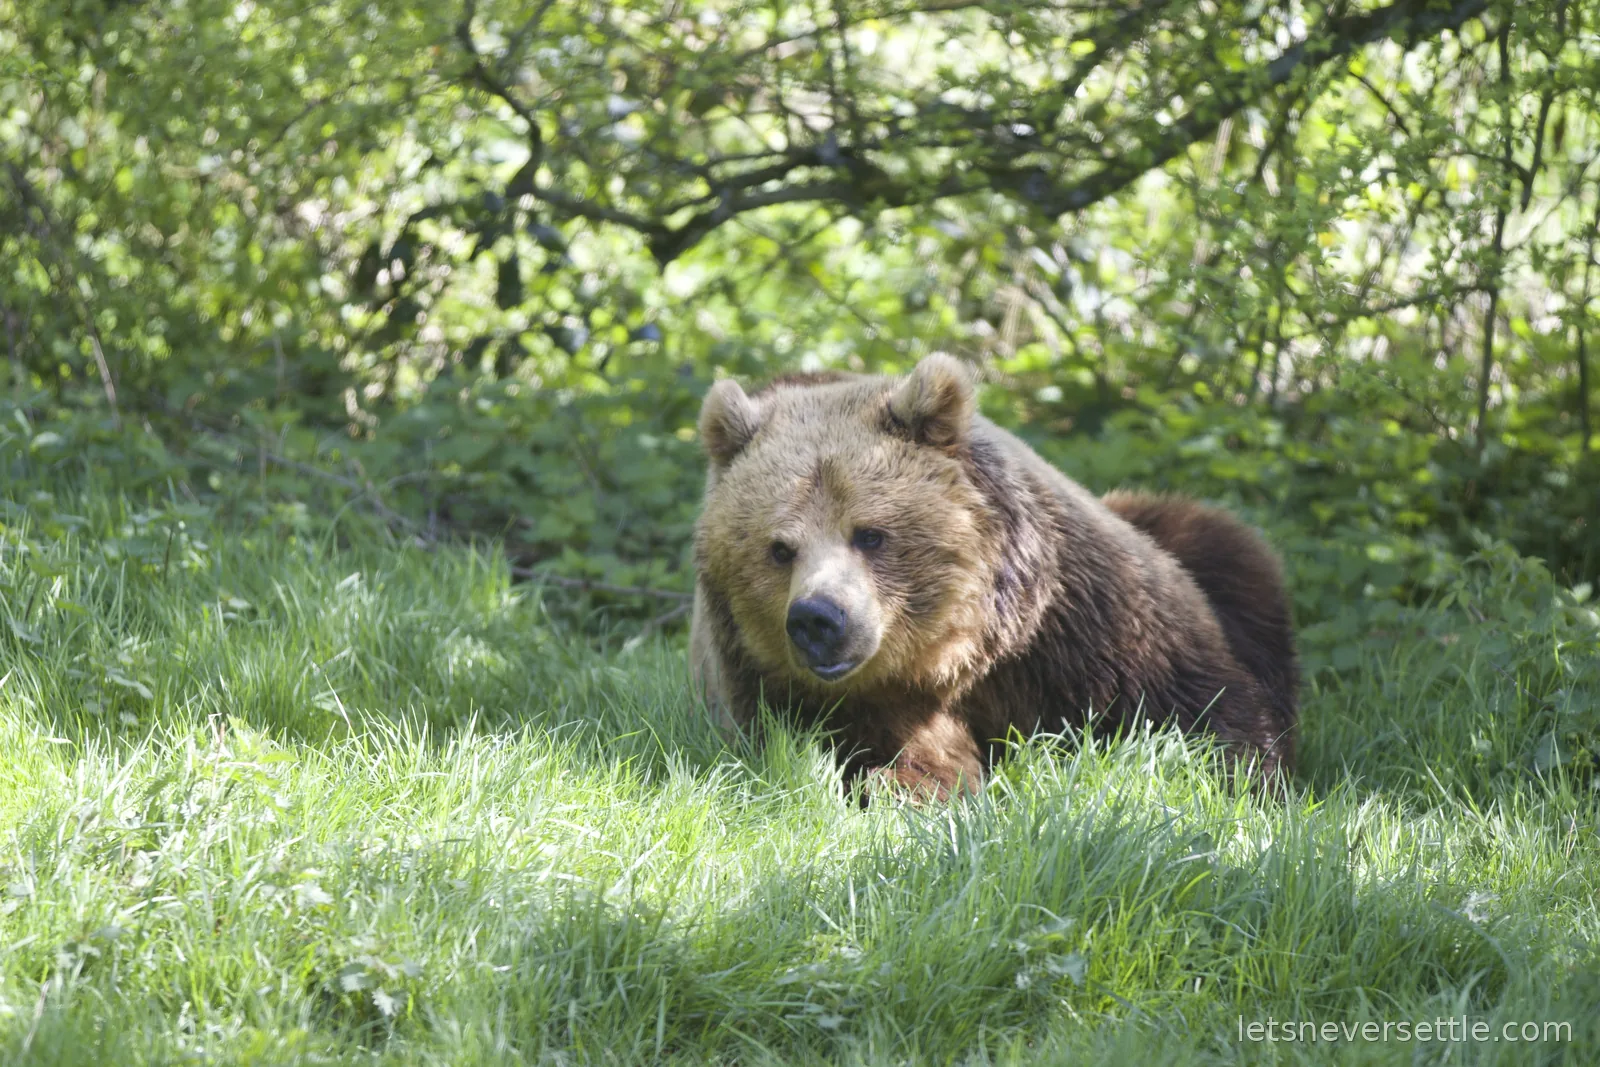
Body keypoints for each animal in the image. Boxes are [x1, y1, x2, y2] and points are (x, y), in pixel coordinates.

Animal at [689, 354, 1297, 798]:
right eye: (779, 549)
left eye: (870, 534)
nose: (818, 619)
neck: (958, 654)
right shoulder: (814, 698)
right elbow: (907, 758)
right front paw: (902, 785)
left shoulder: (1081, 626)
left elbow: (1200, 708)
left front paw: (1233, 778)